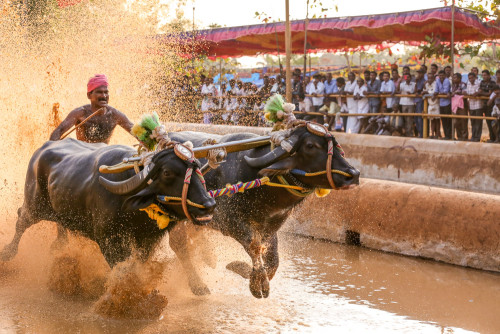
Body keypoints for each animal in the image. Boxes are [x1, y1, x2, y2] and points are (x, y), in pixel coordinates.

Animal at [0, 138, 215, 266]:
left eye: (197, 166)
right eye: (167, 173)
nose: (209, 204)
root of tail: (42, 149)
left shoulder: (147, 240)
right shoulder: (109, 240)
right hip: (34, 205)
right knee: (21, 221)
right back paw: (8, 253)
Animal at [168, 124, 360, 298]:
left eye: (335, 144)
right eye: (310, 146)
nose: (353, 174)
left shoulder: (270, 228)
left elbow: (273, 260)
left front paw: (244, 270)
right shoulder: (231, 223)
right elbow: (254, 247)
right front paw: (257, 283)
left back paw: (209, 258)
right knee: (179, 245)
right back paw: (198, 285)